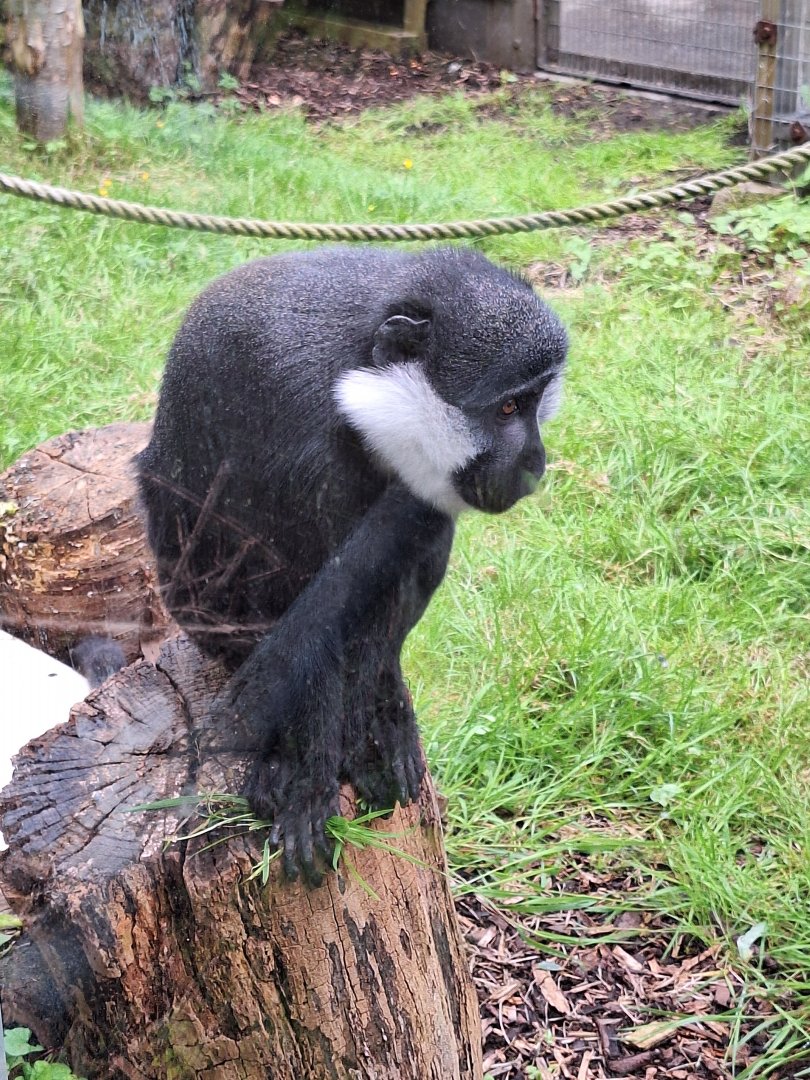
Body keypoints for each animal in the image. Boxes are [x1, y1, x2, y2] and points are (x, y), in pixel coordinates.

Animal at [137, 245, 568, 883]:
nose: (535, 460)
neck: (359, 381)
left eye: (536, 402)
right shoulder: (296, 417)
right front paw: (306, 777)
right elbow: (305, 606)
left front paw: (377, 724)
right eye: (509, 406)